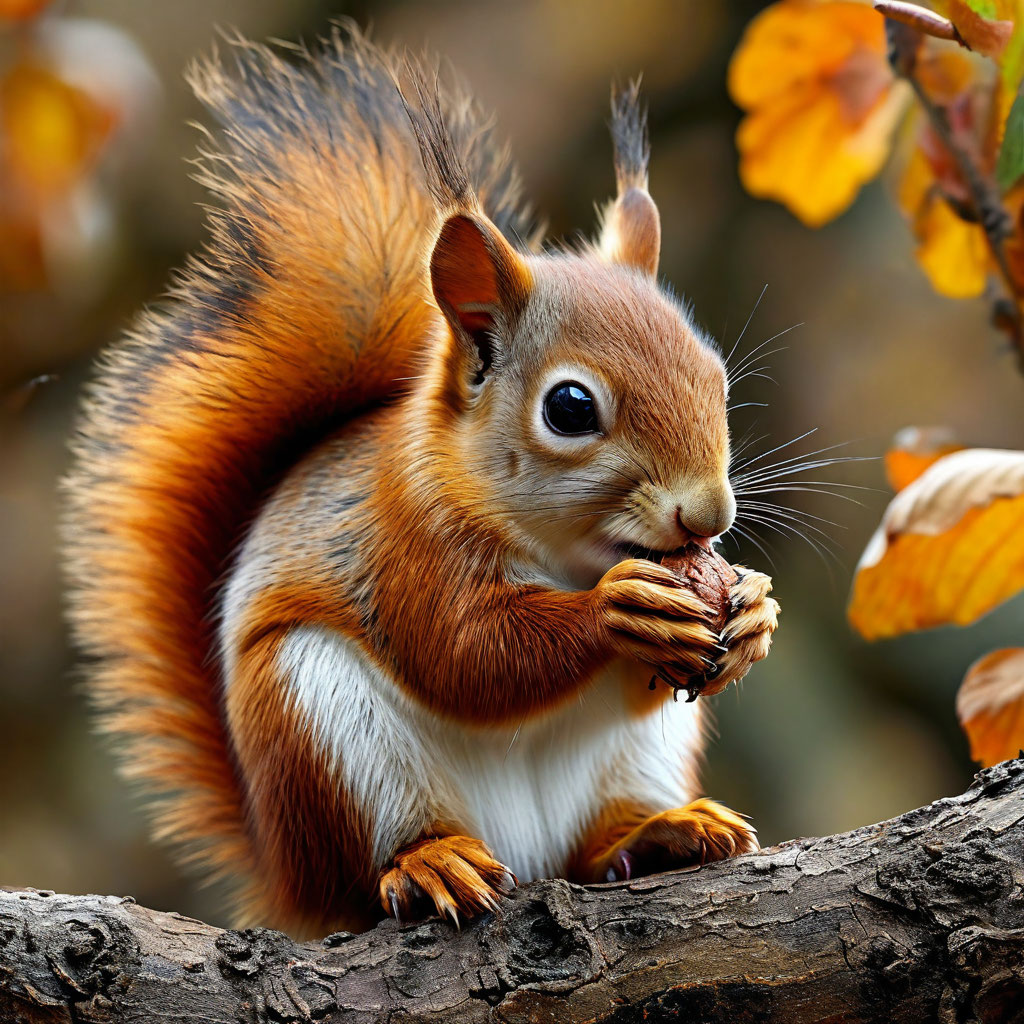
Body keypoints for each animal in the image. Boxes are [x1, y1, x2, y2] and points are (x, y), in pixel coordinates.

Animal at [63, 26, 779, 938]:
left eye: (714, 377)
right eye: (570, 408)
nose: (708, 514)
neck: (565, 553)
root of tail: (288, 880)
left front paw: (753, 609)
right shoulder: (403, 538)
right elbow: (467, 653)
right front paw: (618, 610)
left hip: (636, 761)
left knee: (595, 846)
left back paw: (659, 832)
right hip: (325, 731)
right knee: (381, 862)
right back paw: (430, 862)